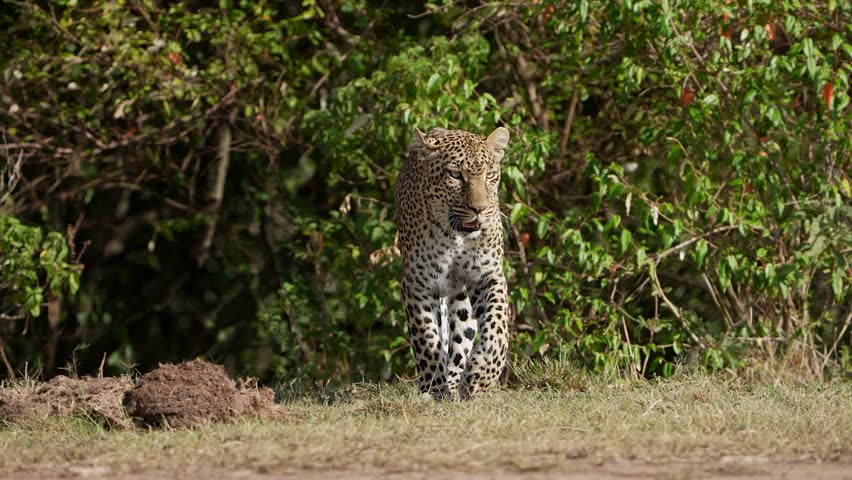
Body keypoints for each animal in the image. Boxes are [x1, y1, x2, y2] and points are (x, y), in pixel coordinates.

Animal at [394, 126, 511, 400]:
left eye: (490, 175)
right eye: (456, 175)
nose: (480, 209)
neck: (455, 237)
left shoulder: (488, 275)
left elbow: (498, 328)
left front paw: (481, 376)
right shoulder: (418, 284)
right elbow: (427, 339)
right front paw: (433, 388)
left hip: (462, 299)